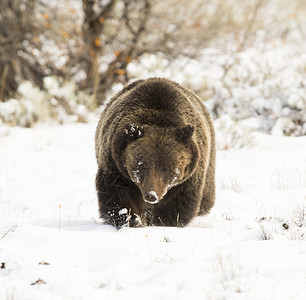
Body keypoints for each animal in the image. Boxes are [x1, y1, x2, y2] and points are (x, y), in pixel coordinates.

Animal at [95, 78, 215, 230]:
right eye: (141, 165)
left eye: (167, 168)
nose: (151, 195)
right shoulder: (117, 166)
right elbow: (117, 196)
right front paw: (132, 219)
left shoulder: (187, 178)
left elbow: (177, 205)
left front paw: (163, 222)